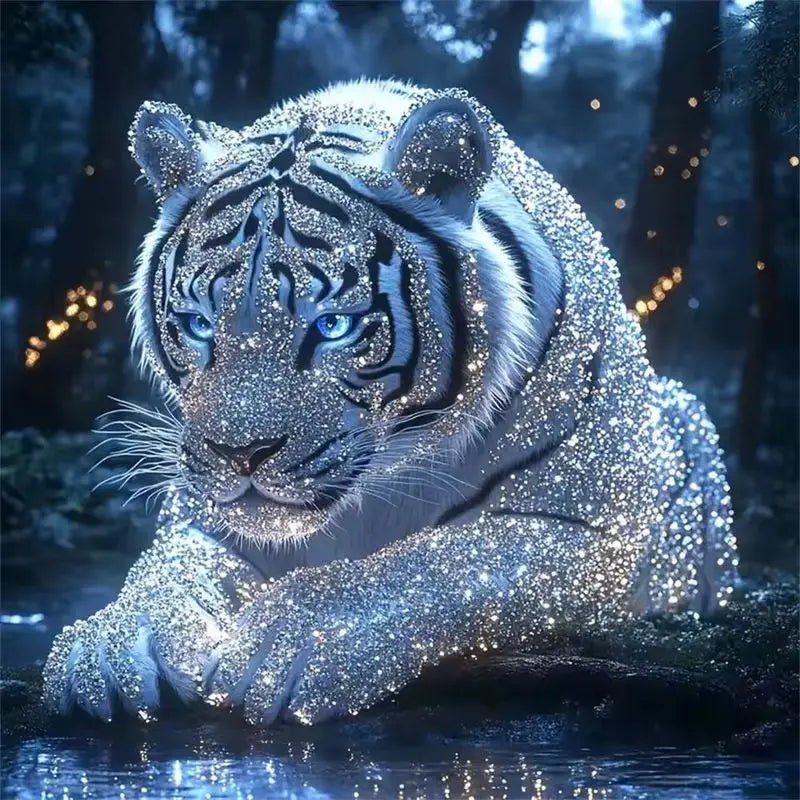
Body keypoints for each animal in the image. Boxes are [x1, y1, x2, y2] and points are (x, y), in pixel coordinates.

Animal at [42, 79, 738, 726]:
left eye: (332, 326)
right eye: (198, 324)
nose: (239, 454)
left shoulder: (596, 531)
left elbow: (441, 562)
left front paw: (290, 641)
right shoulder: (202, 517)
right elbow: (166, 572)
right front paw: (106, 647)